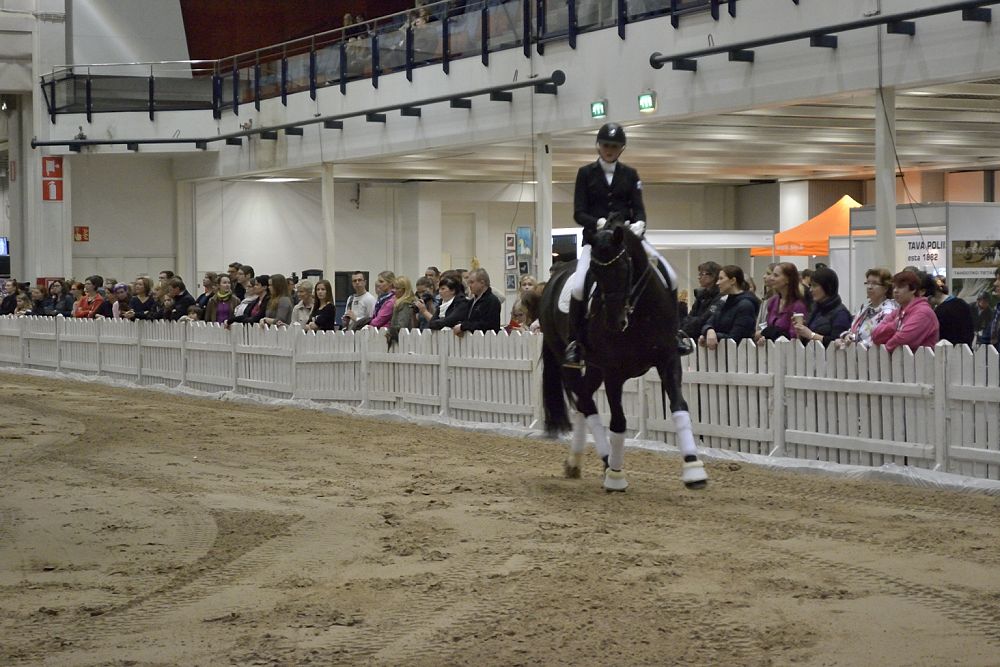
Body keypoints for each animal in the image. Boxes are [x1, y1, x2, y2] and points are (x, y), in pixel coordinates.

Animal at [538, 219, 708, 492]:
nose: (614, 321)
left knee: (584, 400)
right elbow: (618, 421)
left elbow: (679, 406)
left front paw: (694, 469)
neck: (638, 313)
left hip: (594, 367)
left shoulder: (668, 360)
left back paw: (575, 461)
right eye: (594, 272)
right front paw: (616, 476)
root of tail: (552, 280)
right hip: (569, 362)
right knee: (586, 402)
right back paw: (607, 461)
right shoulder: (613, 372)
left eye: (625, 268)